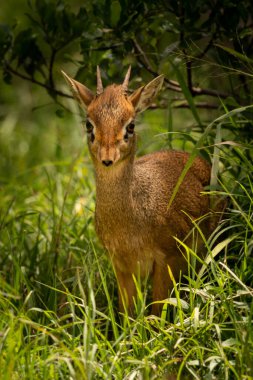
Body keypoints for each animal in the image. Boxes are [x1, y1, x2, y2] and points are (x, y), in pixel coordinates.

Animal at [62, 67, 216, 314]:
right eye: (89, 124)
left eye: (131, 126)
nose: (107, 158)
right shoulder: (121, 266)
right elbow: (127, 314)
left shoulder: (167, 260)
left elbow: (157, 312)